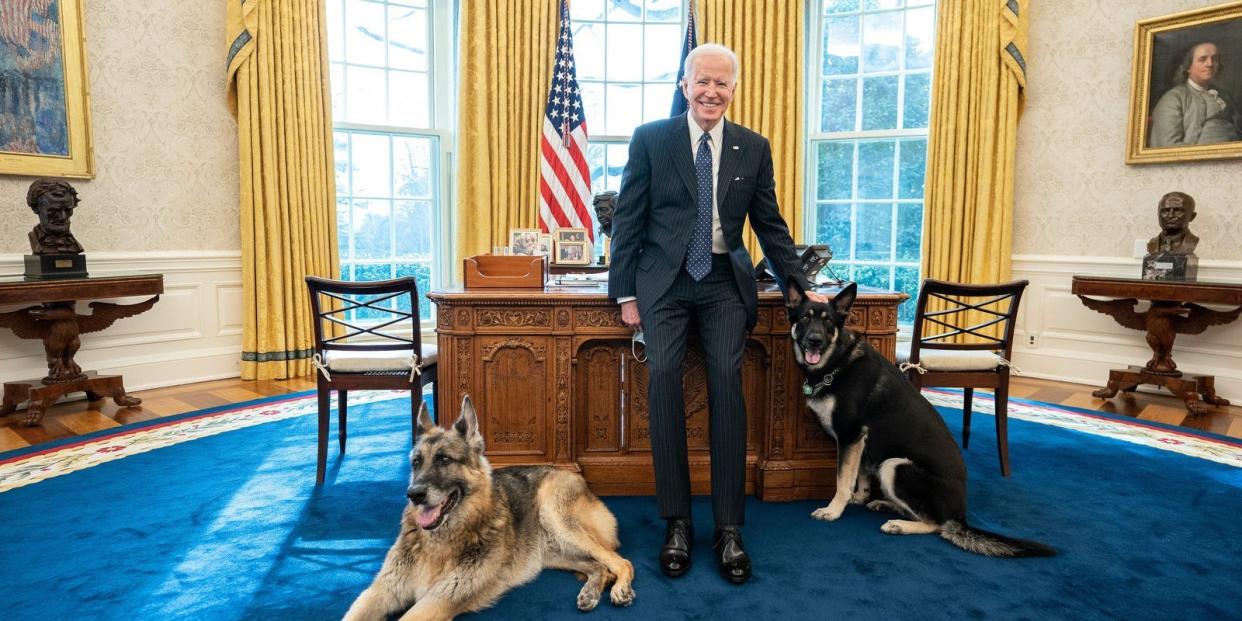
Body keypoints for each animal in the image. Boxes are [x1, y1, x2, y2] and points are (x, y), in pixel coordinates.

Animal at [342, 394, 640, 618]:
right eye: (416, 463)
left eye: (444, 460)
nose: (414, 494)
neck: (441, 539)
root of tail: (575, 477)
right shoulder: (381, 591)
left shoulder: (438, 599)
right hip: (554, 553)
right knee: (599, 567)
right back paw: (590, 592)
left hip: (557, 519)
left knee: (621, 562)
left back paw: (620, 589)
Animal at [784, 281, 1048, 558]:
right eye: (804, 318)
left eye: (828, 323)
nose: (815, 341)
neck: (837, 361)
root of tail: (960, 516)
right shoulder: (863, 443)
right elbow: (861, 474)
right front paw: (860, 497)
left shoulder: (850, 437)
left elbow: (843, 479)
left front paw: (834, 510)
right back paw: (886, 505)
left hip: (895, 466)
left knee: (935, 525)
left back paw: (900, 525)